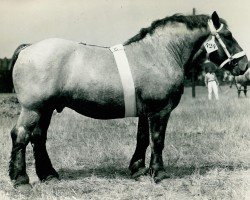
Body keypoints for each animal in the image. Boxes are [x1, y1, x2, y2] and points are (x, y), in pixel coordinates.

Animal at [8, 11, 247, 190]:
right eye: (228, 35)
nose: (244, 64)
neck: (159, 53)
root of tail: (28, 48)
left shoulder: (145, 112)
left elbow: (142, 138)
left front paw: (138, 170)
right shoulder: (160, 111)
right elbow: (157, 140)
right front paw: (159, 173)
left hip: (45, 109)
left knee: (38, 138)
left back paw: (49, 175)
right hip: (33, 108)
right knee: (21, 135)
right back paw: (21, 180)